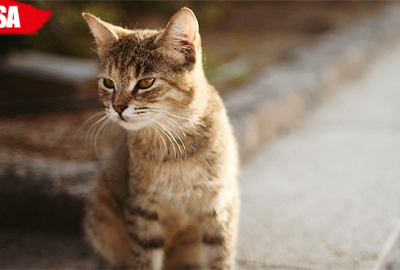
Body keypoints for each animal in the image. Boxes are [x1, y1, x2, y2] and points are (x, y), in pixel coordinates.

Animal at [81, 7, 238, 268]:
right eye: (108, 83)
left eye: (146, 82)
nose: (117, 107)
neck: (175, 148)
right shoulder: (142, 210)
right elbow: (145, 258)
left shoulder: (219, 206)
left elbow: (220, 257)